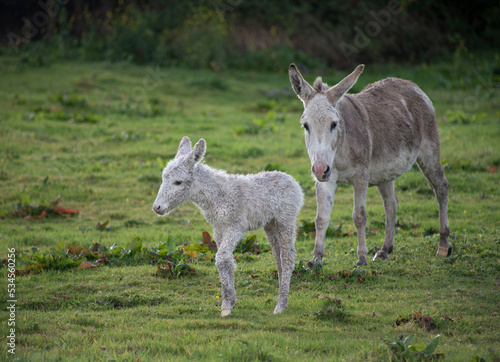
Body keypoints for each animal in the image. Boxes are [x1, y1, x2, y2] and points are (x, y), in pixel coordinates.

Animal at [152, 138, 302, 316]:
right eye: (163, 178)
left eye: (178, 182)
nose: (157, 208)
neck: (217, 196)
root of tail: (291, 179)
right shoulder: (219, 229)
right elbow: (226, 260)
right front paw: (229, 301)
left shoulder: (235, 227)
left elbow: (222, 258)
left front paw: (227, 306)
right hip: (270, 224)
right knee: (278, 255)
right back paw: (282, 296)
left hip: (285, 219)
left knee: (288, 257)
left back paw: (280, 305)